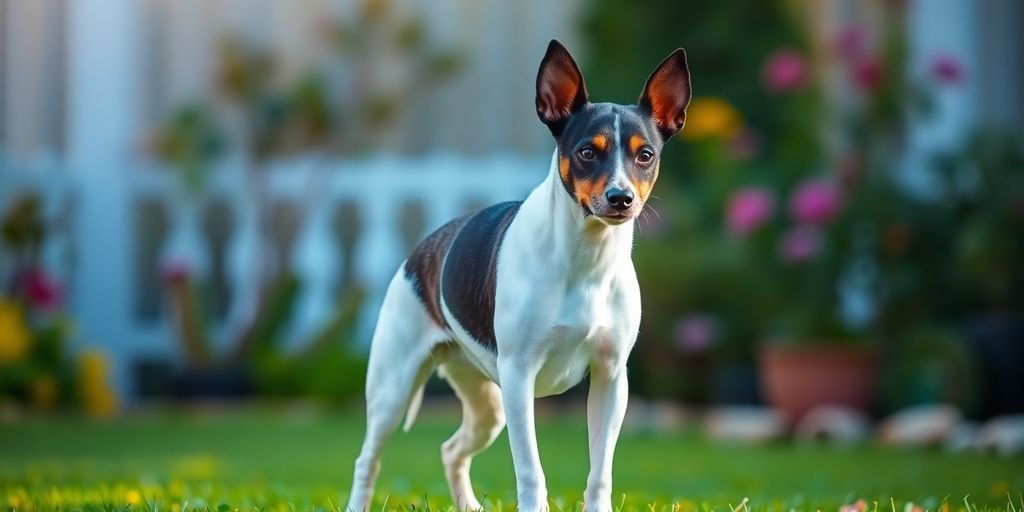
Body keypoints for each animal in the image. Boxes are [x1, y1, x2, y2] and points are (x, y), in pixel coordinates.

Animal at [348, 40, 692, 512]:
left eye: (646, 155)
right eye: (587, 152)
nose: (620, 198)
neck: (585, 261)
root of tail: (419, 251)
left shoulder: (610, 379)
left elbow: (600, 472)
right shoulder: (519, 377)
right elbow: (531, 471)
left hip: (486, 407)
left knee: (451, 450)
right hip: (393, 389)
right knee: (368, 460)